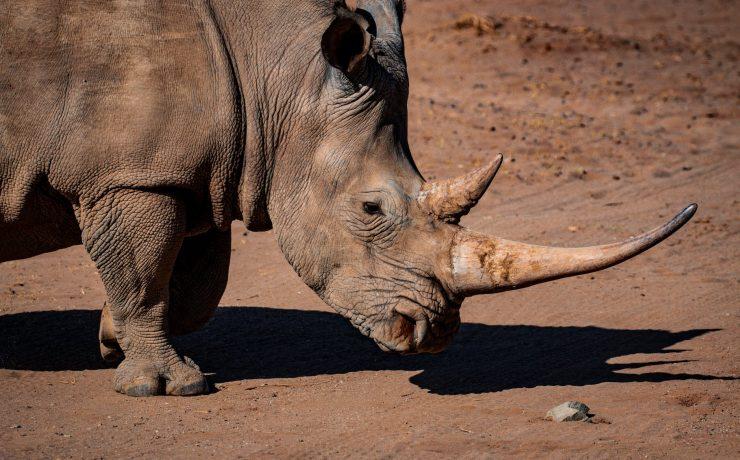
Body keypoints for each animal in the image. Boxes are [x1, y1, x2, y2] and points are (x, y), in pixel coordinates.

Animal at [0, 0, 696, 396]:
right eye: (370, 210)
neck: (275, 72)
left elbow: (194, 286)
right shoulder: (132, 173)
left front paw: (110, 339)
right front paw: (167, 387)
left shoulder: (191, 168)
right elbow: (145, 274)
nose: (433, 334)